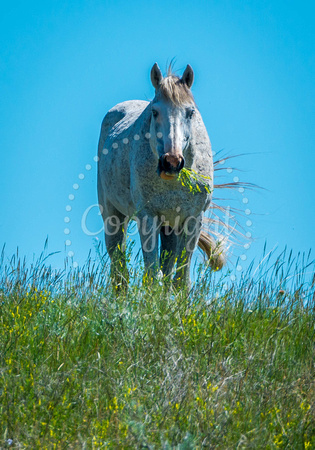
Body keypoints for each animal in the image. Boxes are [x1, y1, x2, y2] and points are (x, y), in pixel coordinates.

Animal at [98, 62, 225, 288]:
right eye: (155, 112)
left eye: (190, 112)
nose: (171, 162)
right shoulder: (147, 217)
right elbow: (151, 274)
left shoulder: (193, 219)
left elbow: (180, 279)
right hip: (112, 216)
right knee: (119, 268)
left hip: (169, 228)